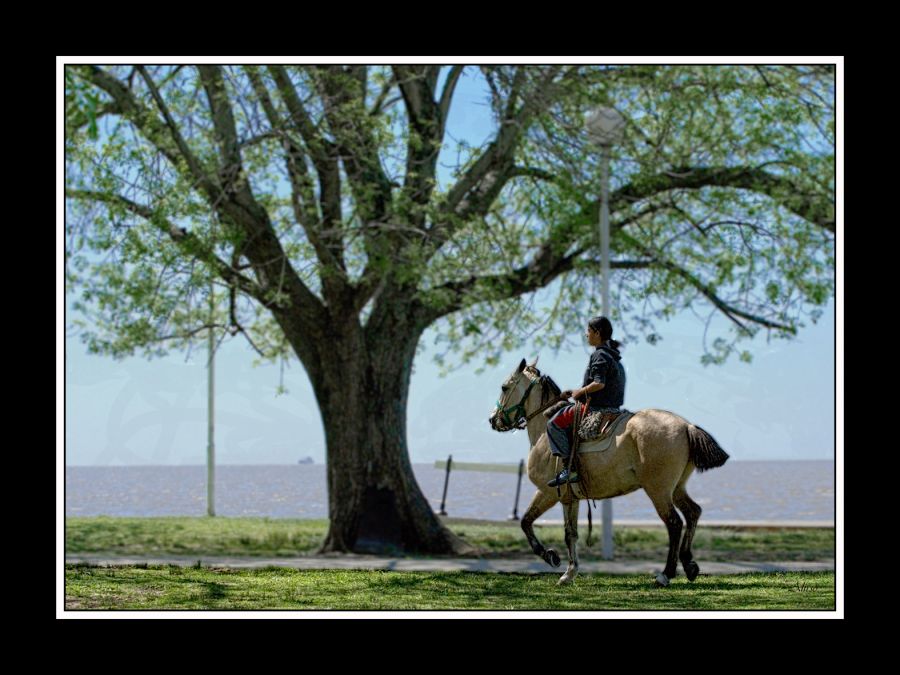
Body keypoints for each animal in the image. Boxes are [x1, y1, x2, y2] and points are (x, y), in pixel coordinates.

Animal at [488, 360, 728, 588]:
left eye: (504, 387)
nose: (493, 419)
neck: (543, 431)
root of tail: (686, 426)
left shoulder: (549, 492)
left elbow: (527, 522)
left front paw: (551, 557)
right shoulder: (570, 498)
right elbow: (568, 533)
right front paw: (569, 572)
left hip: (658, 490)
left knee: (674, 523)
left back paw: (665, 575)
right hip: (676, 488)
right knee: (692, 512)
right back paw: (689, 564)